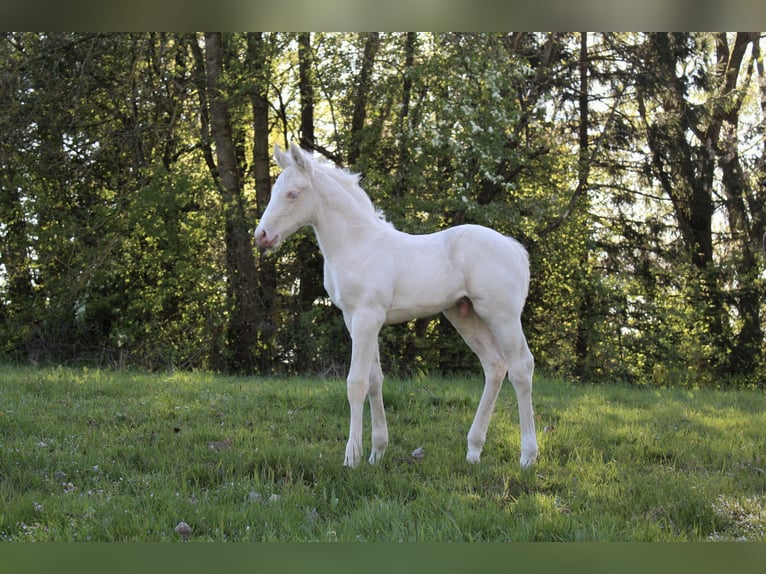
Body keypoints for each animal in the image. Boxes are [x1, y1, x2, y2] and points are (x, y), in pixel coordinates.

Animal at [254, 144, 538, 469]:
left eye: (293, 193)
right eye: (275, 190)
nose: (262, 236)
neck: (357, 244)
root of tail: (514, 249)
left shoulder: (366, 317)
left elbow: (356, 383)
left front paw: (352, 457)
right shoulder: (354, 319)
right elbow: (375, 380)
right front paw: (377, 452)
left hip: (502, 316)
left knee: (521, 368)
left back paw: (528, 456)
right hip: (464, 315)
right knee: (495, 366)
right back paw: (473, 450)